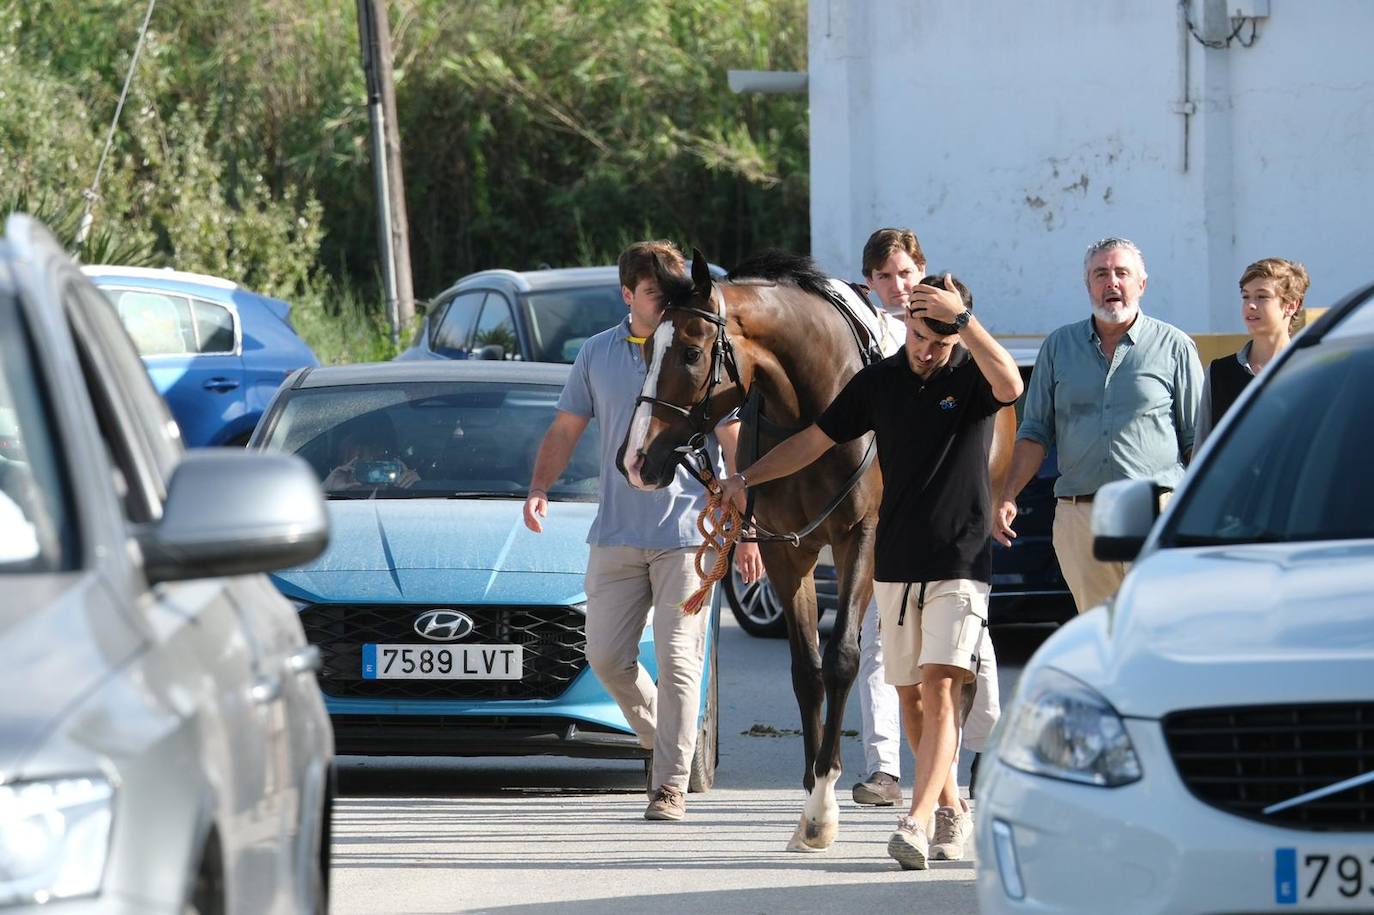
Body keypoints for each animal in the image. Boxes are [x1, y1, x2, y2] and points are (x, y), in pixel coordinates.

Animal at [617, 248, 886, 851]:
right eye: (645, 348)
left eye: (692, 352)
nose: (636, 460)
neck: (818, 409)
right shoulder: (789, 551)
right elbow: (807, 670)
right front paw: (811, 804)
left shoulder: (858, 538)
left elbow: (842, 659)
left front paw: (826, 800)